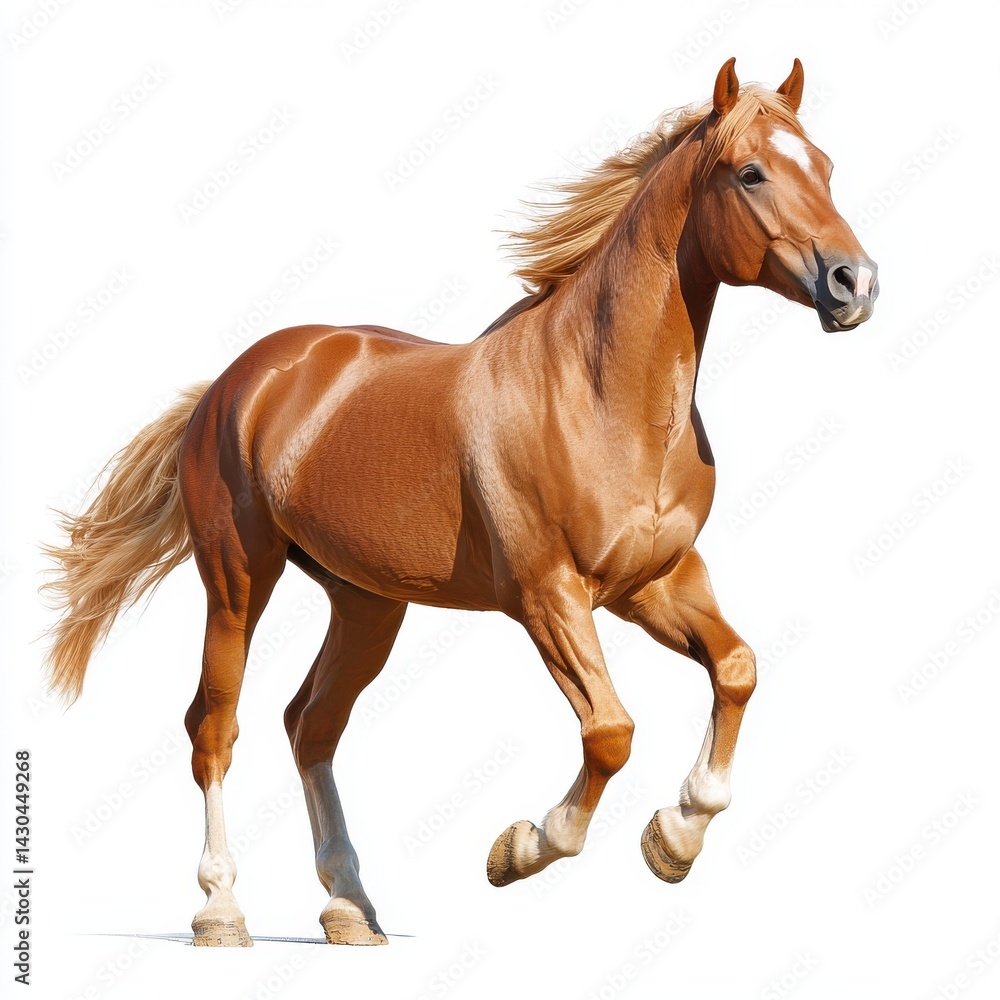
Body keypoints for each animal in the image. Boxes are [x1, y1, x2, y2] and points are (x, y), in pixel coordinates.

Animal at [43, 58, 878, 947]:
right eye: (751, 173)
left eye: (826, 167)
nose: (855, 282)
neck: (601, 396)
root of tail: (235, 382)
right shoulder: (549, 595)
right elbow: (610, 732)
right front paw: (521, 849)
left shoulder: (655, 583)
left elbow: (737, 669)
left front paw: (676, 837)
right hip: (238, 580)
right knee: (214, 727)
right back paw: (221, 911)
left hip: (367, 602)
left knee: (310, 723)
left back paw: (350, 908)